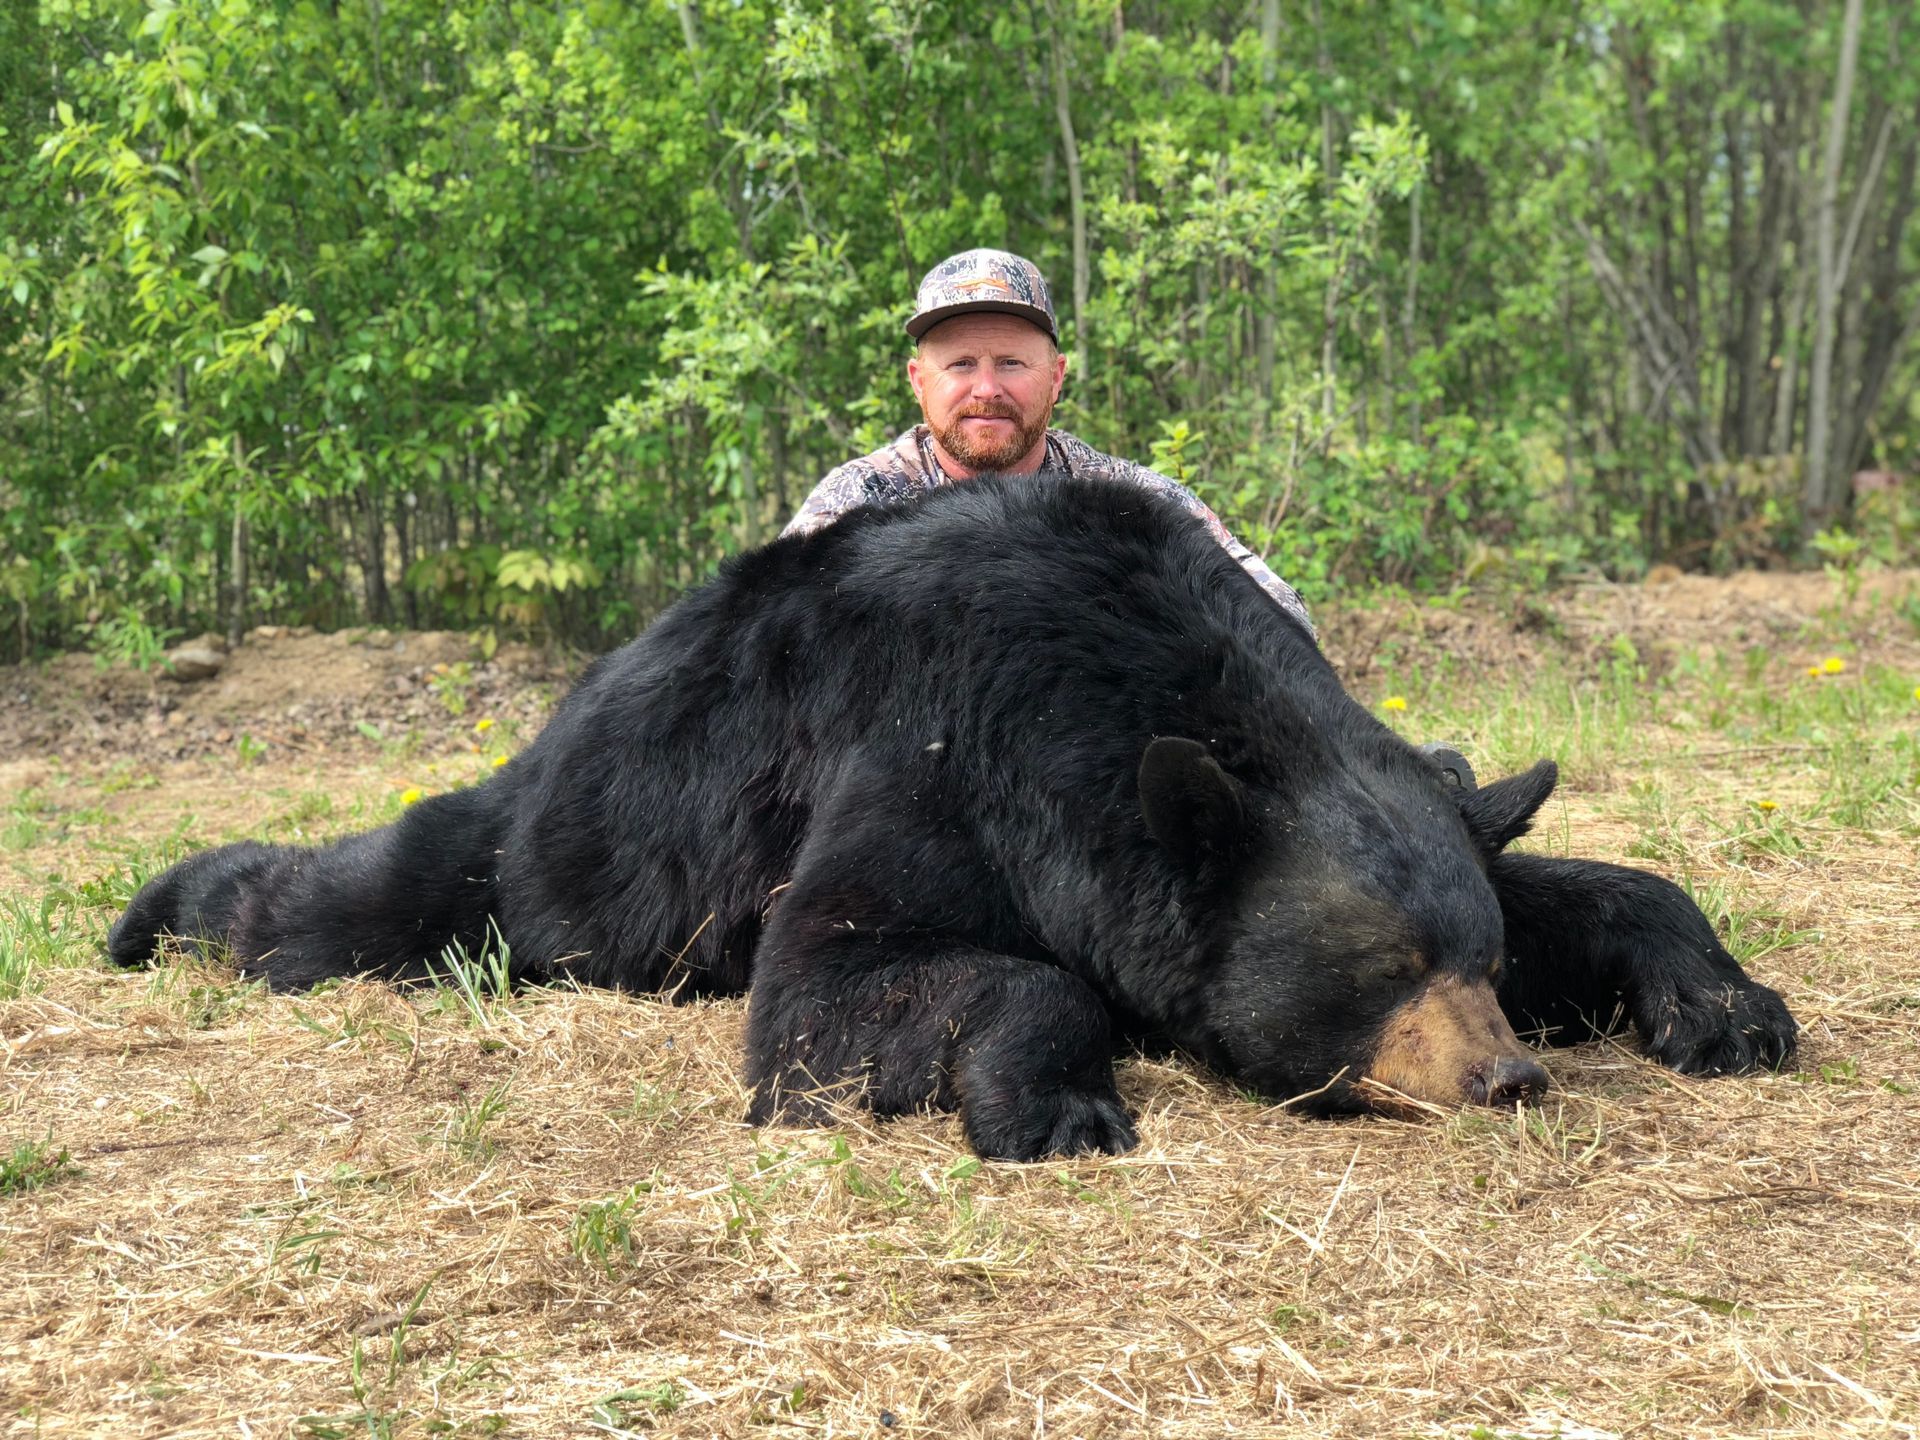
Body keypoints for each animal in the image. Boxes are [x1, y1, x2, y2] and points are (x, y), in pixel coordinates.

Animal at [109, 475, 1798, 1160]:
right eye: (1379, 970)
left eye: (1477, 961)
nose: (1509, 1073)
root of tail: (568, 719)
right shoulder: (926, 747)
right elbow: (837, 987)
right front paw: (1055, 1105)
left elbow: (1600, 883)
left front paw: (1729, 1008)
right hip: (551, 857)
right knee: (355, 898)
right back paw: (152, 914)